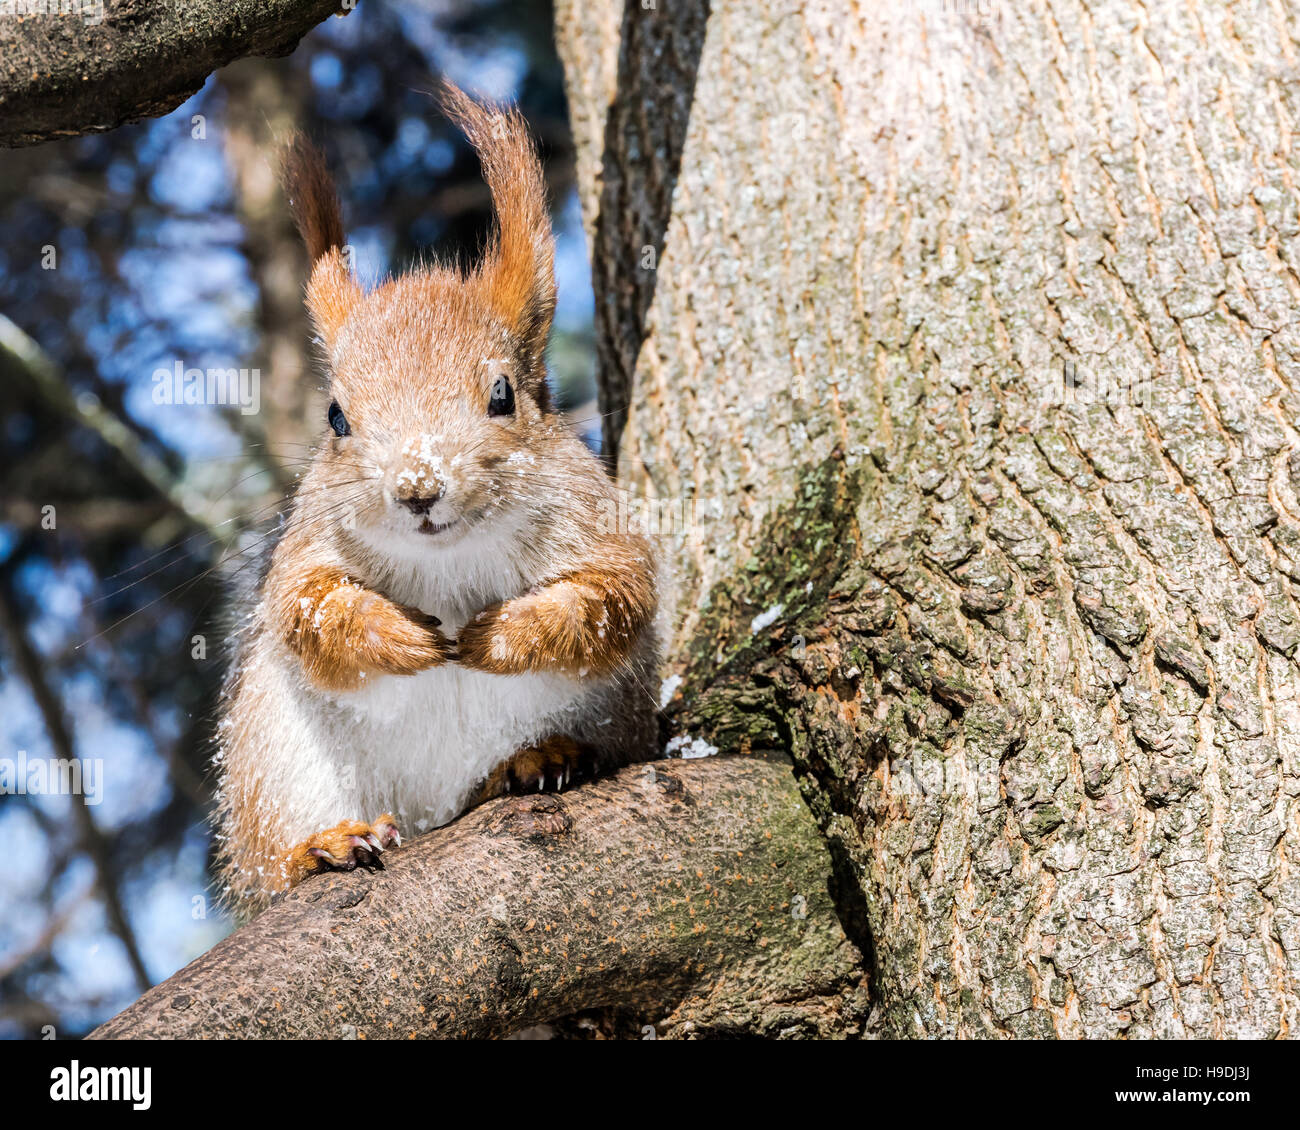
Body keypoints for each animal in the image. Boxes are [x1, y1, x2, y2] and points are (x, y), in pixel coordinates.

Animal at [211, 82, 661, 916]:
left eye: (502, 395)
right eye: (337, 418)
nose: (418, 490)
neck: (448, 559)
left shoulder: (602, 528)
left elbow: (610, 599)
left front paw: (495, 635)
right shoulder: (304, 548)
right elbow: (308, 610)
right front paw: (404, 637)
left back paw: (531, 763)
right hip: (276, 774)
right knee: (271, 868)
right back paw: (319, 849)